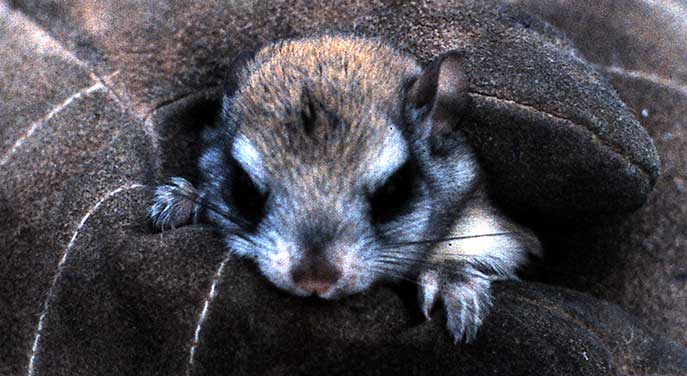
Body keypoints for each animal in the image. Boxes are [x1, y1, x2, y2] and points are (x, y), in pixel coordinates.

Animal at [150, 33, 544, 342]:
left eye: (394, 190)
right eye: (244, 188)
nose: (315, 281)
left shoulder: (495, 232)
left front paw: (452, 281)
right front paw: (183, 200)